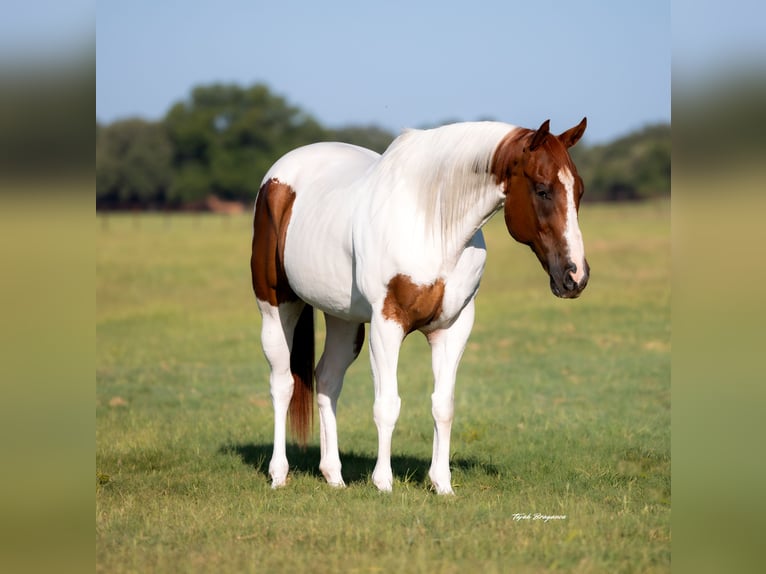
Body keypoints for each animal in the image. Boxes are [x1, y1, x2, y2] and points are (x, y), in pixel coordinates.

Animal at [250, 118, 589, 494]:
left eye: (579, 191)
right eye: (543, 190)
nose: (575, 276)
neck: (433, 224)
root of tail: (279, 176)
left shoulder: (452, 328)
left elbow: (443, 405)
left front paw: (442, 484)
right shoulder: (387, 324)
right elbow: (387, 405)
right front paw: (384, 483)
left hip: (342, 318)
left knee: (326, 380)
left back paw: (334, 476)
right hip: (276, 306)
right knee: (283, 383)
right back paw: (279, 474)